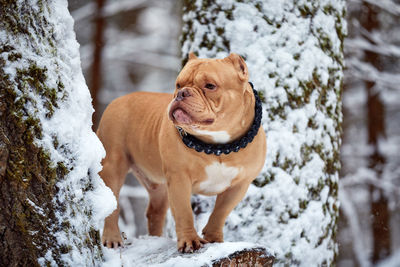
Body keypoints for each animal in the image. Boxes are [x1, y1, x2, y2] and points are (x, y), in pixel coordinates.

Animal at [96, 52, 266, 253]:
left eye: (210, 86)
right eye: (178, 84)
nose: (181, 93)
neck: (217, 147)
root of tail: (118, 100)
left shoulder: (239, 185)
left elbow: (220, 212)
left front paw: (214, 238)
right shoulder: (179, 179)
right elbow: (184, 212)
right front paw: (189, 241)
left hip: (159, 187)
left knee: (155, 212)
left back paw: (156, 240)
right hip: (113, 166)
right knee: (112, 204)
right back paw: (112, 238)